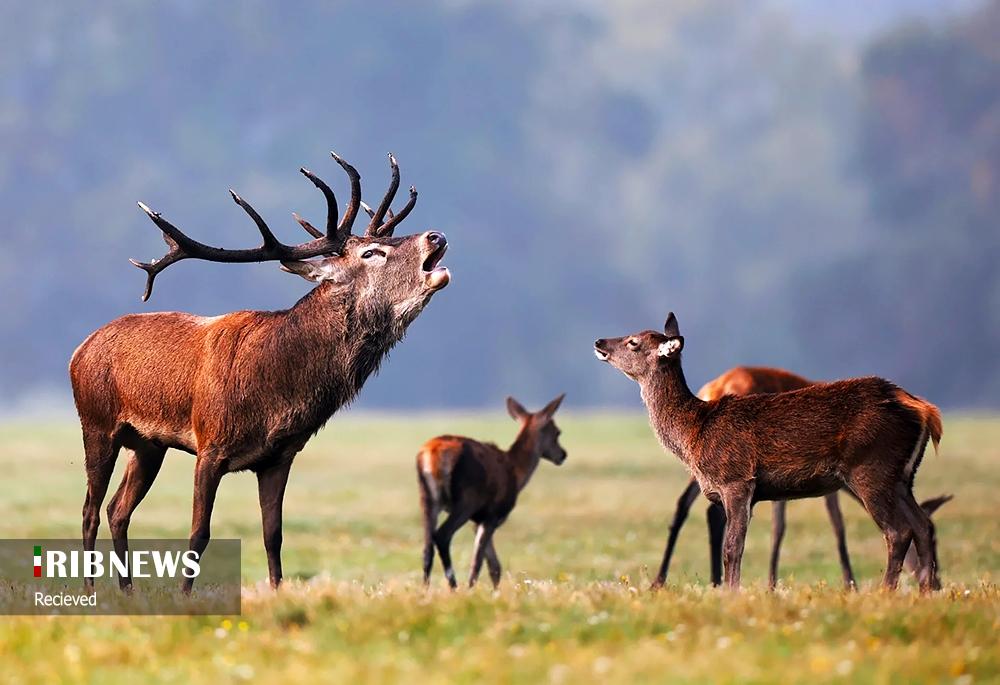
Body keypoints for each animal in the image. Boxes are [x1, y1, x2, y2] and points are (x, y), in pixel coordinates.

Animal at [70, 152, 451, 592]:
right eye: (372, 253)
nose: (436, 236)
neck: (274, 394)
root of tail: (78, 350)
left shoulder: (279, 457)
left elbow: (273, 534)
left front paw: (277, 589)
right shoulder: (210, 443)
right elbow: (199, 533)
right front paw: (184, 595)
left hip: (149, 445)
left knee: (118, 509)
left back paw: (128, 590)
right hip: (97, 423)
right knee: (90, 509)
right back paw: (91, 589)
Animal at [417, 394, 567, 589]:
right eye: (557, 432)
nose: (563, 454)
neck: (516, 472)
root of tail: (431, 454)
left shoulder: (478, 520)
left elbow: (494, 565)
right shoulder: (492, 515)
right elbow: (480, 563)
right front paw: (473, 590)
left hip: (427, 497)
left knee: (427, 548)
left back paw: (425, 589)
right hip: (467, 500)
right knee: (442, 535)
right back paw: (454, 586)